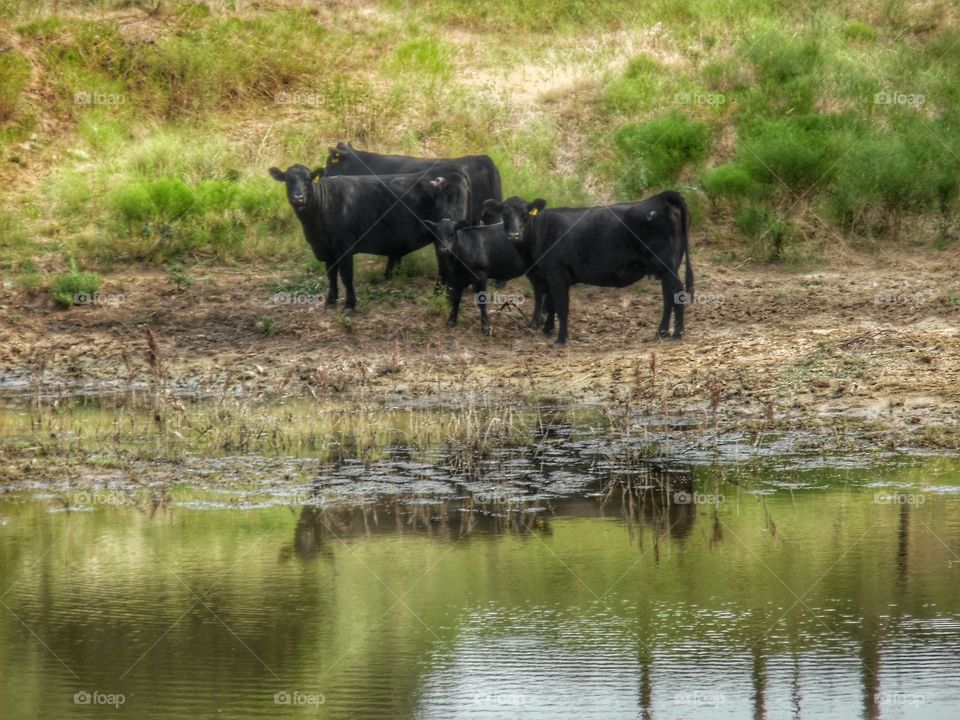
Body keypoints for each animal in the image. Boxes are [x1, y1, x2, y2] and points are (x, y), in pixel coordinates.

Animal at [269, 164, 469, 312]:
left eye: (308, 180)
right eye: (288, 180)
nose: (298, 198)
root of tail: (453, 170)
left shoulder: (344, 245)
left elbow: (346, 276)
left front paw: (349, 305)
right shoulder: (326, 248)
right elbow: (331, 275)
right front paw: (330, 301)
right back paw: (439, 294)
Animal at [485, 192, 693, 346]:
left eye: (525, 214)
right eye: (504, 215)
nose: (514, 235)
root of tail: (660, 198)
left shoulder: (557, 274)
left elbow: (561, 307)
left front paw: (560, 339)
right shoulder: (548, 276)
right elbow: (550, 304)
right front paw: (547, 330)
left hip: (666, 264)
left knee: (677, 292)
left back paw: (677, 333)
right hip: (665, 268)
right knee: (668, 296)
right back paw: (661, 332)